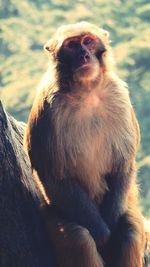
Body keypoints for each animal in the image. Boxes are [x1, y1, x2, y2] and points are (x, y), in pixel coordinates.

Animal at [24, 21, 146, 267]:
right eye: (71, 45)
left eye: (88, 41)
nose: (84, 55)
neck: (86, 90)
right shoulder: (47, 109)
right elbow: (53, 174)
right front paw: (103, 235)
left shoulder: (119, 96)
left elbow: (123, 165)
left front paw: (112, 232)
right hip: (54, 211)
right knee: (78, 236)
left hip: (126, 201)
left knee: (130, 230)